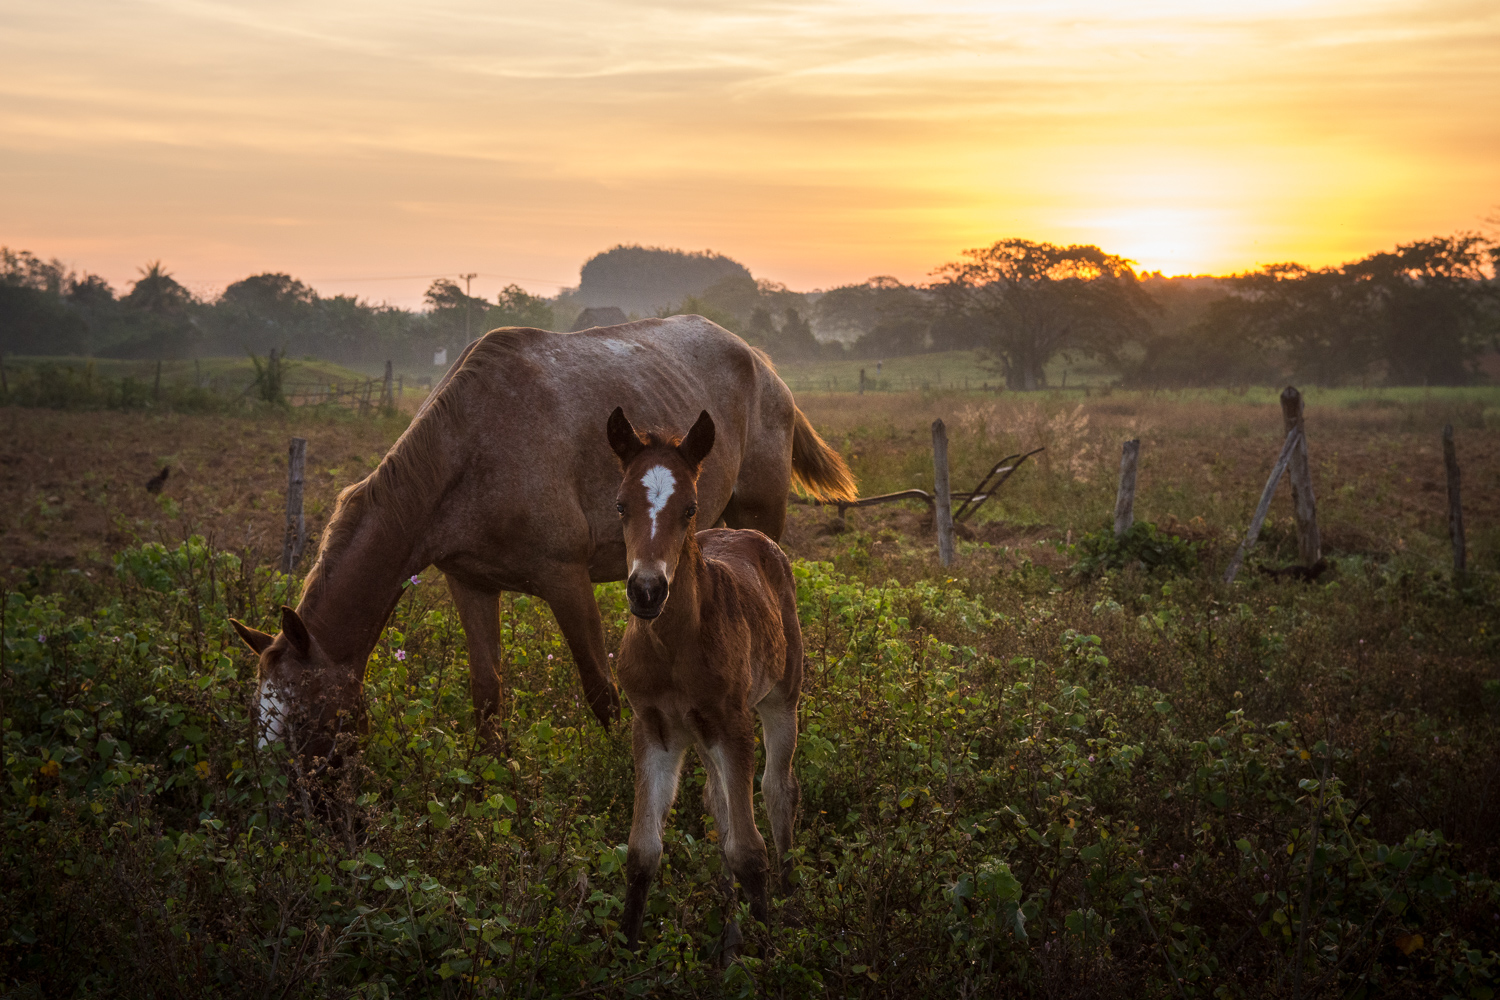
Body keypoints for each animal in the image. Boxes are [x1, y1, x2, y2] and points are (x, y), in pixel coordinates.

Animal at [225, 316, 858, 761]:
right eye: (260, 721)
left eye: (306, 721)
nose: (297, 824)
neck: (472, 449)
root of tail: (762, 364)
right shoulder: (471, 585)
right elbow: (487, 694)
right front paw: (487, 778)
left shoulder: (566, 580)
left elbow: (601, 691)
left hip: (758, 517)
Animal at [603, 401, 804, 953]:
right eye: (621, 506)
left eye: (690, 509)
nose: (646, 591)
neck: (675, 648)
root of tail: (746, 533)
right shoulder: (653, 728)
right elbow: (643, 850)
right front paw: (625, 947)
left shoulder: (733, 724)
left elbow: (750, 851)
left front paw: (768, 950)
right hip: (700, 734)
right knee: (718, 805)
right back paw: (730, 928)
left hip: (781, 700)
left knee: (777, 788)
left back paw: (790, 891)